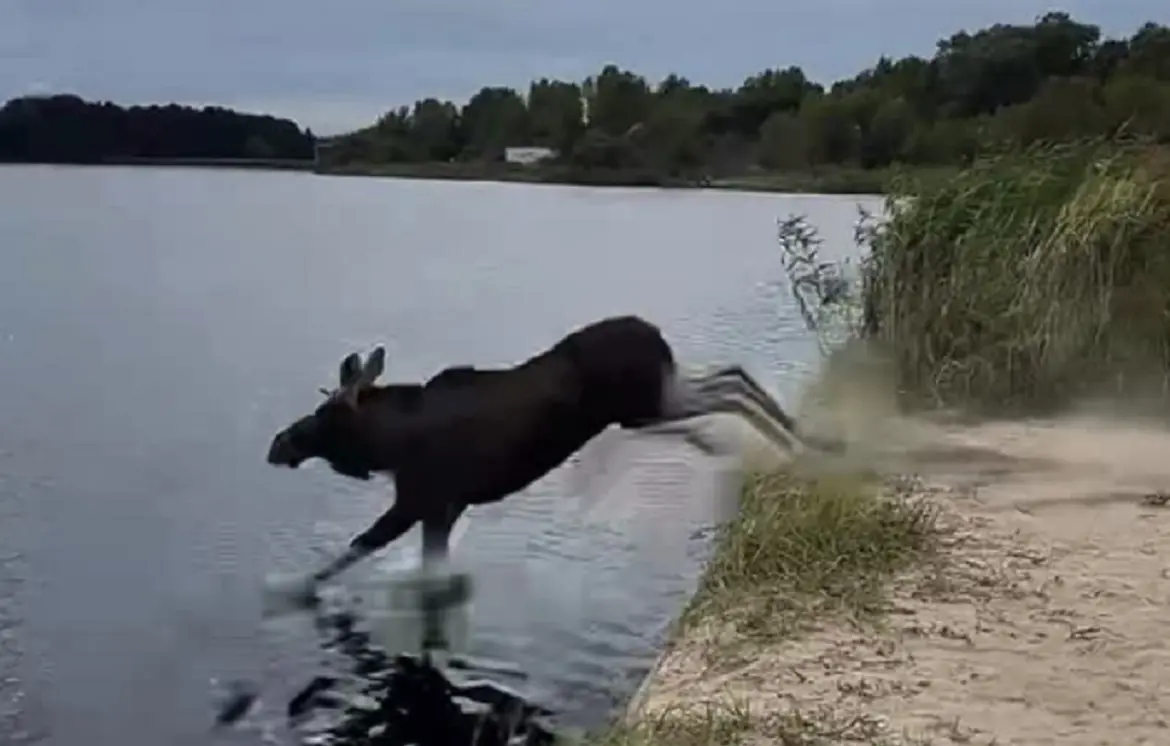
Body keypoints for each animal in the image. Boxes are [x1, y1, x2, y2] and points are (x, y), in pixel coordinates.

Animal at [264, 315, 815, 641]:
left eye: (323, 414)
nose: (278, 444)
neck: (388, 443)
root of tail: (651, 330)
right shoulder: (444, 507)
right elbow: (426, 567)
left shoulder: (420, 500)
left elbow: (359, 547)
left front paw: (293, 587)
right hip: (655, 398)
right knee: (732, 374)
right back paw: (799, 439)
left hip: (646, 405)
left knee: (730, 389)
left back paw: (795, 441)